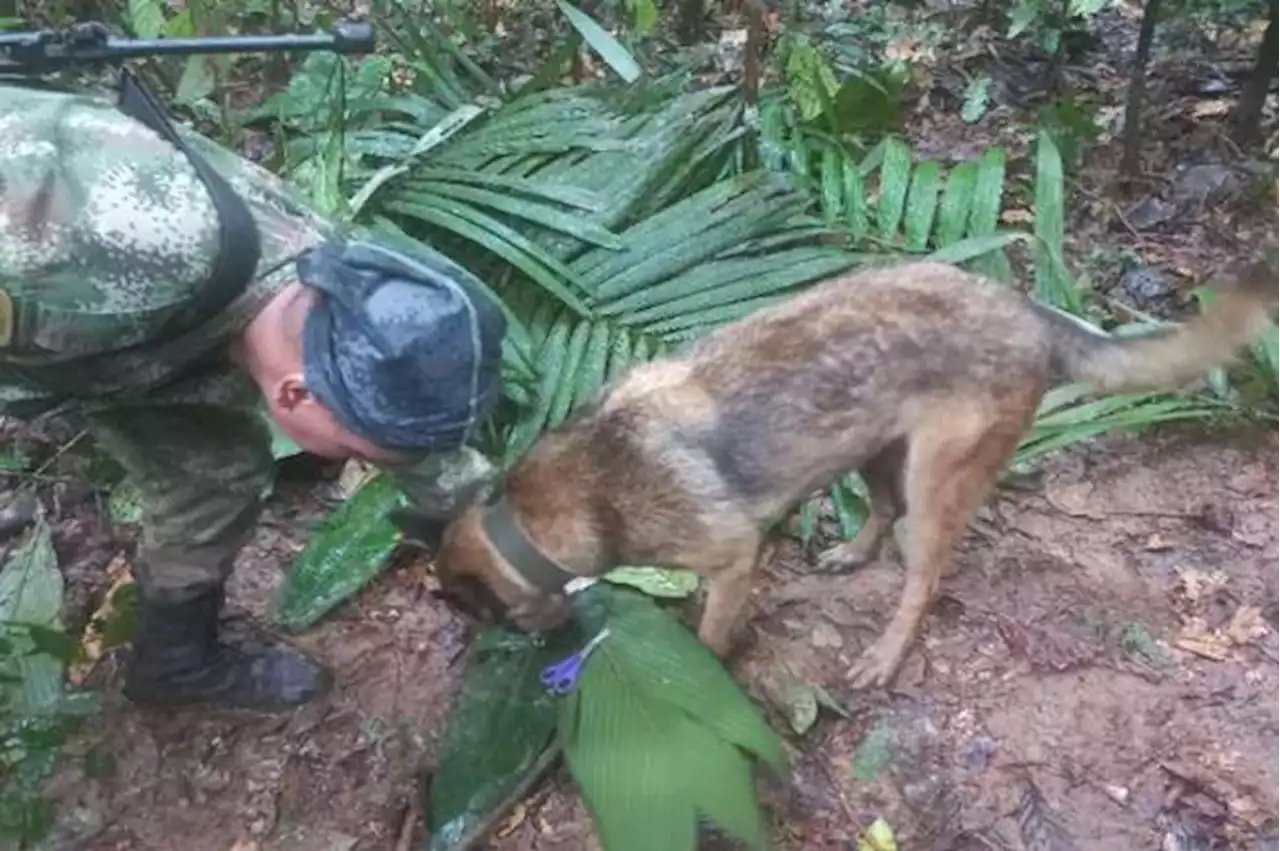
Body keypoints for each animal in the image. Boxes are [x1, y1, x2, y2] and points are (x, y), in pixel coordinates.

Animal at [427, 255, 1280, 685]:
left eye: (483, 617)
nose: (540, 649)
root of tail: (1028, 310)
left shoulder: (732, 555)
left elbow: (710, 632)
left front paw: (704, 664)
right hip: (872, 445)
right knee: (884, 510)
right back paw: (851, 552)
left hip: (938, 480)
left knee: (922, 574)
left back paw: (885, 654)